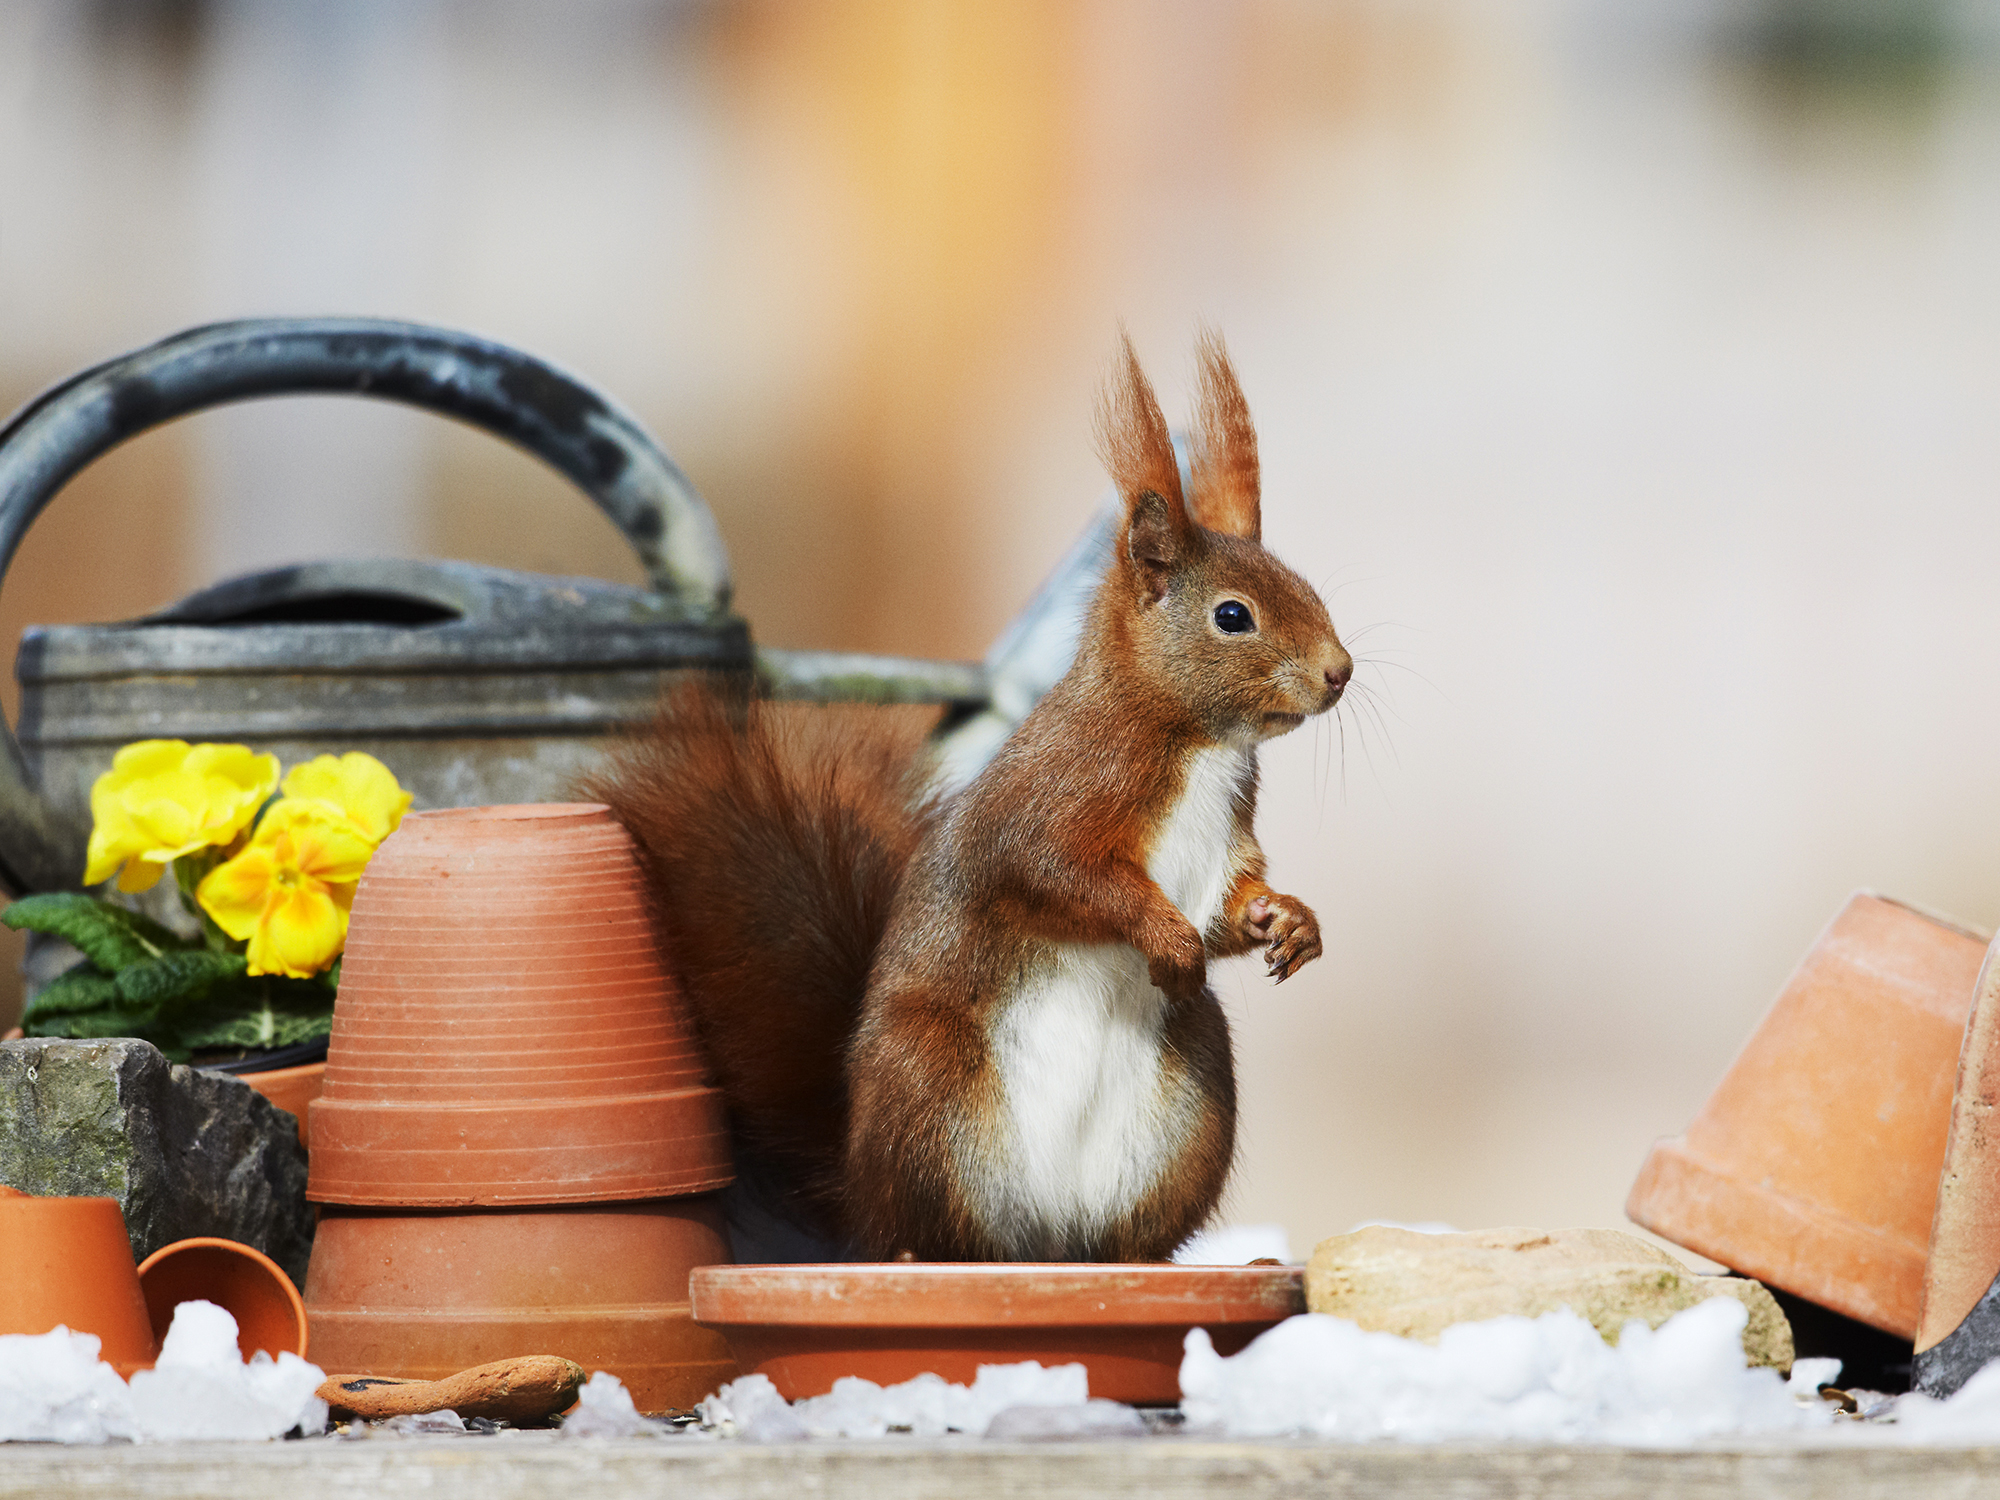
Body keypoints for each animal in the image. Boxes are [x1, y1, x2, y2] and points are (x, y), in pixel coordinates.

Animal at [588, 331, 1353, 1262]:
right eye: (1233, 616)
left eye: (1307, 587)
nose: (1340, 672)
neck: (1198, 743)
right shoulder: (1048, 803)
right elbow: (1063, 877)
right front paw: (1164, 936)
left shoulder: (1223, 839)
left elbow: (1230, 907)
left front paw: (1291, 922)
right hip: (933, 1091)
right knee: (931, 1237)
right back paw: (917, 1255)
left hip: (1191, 1105)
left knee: (1117, 1243)